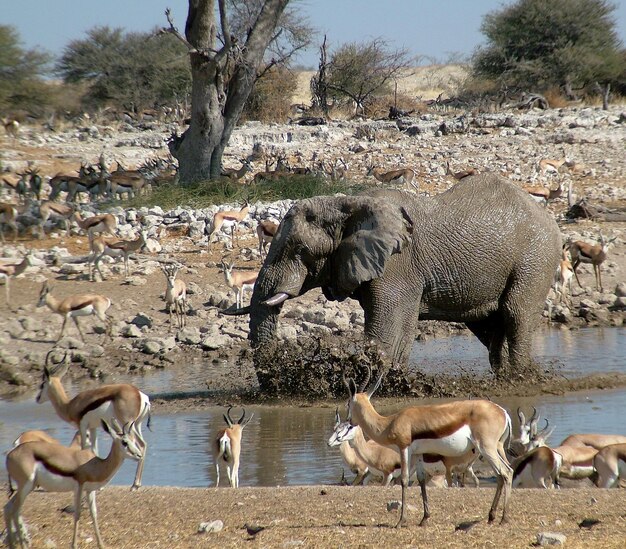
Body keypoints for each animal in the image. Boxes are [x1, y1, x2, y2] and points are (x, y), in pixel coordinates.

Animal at [227, 173, 560, 384]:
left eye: (300, 250)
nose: (274, 383)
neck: (346, 204)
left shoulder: (398, 266)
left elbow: (387, 327)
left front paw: (376, 385)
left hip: (535, 259)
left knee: (515, 315)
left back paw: (521, 379)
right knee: (489, 326)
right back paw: (504, 378)